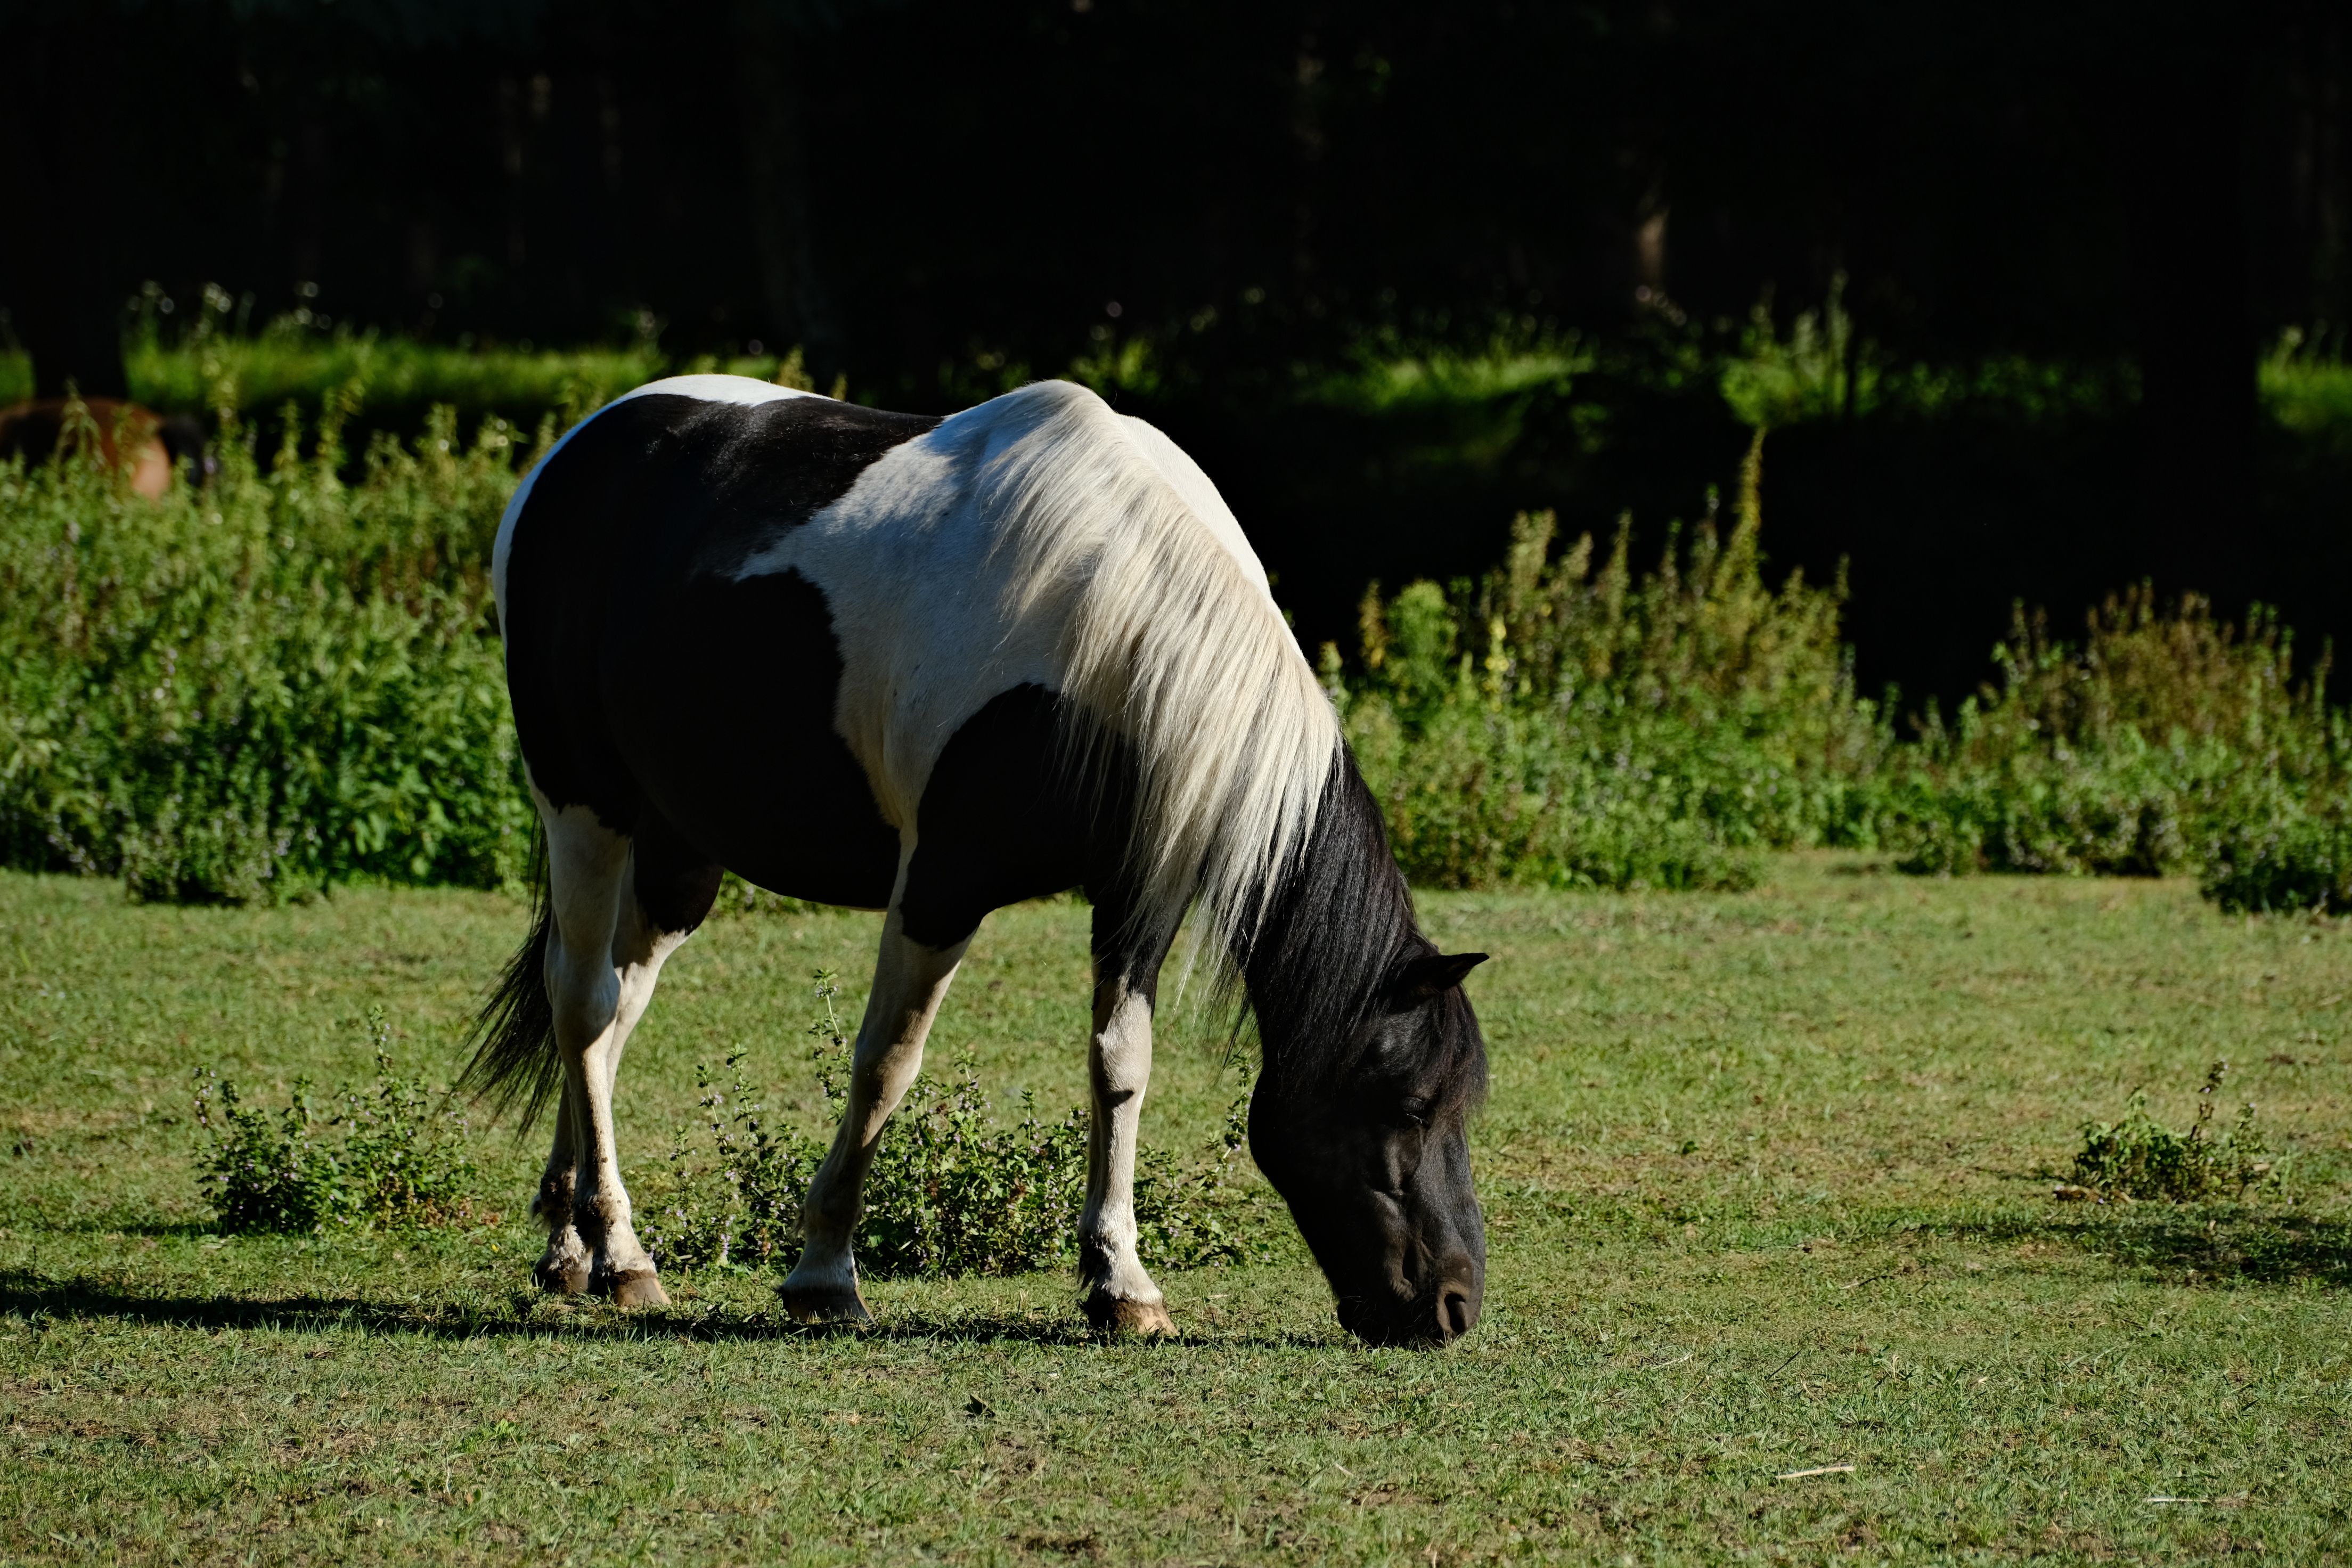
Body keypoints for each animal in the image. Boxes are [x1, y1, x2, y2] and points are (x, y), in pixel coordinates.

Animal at [464, 373, 1490, 1346]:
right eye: (1409, 1103)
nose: (1453, 1304)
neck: (1116, 624)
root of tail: (577, 450)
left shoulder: (1140, 893)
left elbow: (1121, 1066)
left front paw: (1122, 1282)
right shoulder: (941, 888)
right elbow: (887, 1063)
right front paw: (825, 1273)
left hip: (680, 853)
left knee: (612, 1009)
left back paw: (570, 1245)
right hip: (583, 803)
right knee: (583, 1001)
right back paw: (621, 1254)